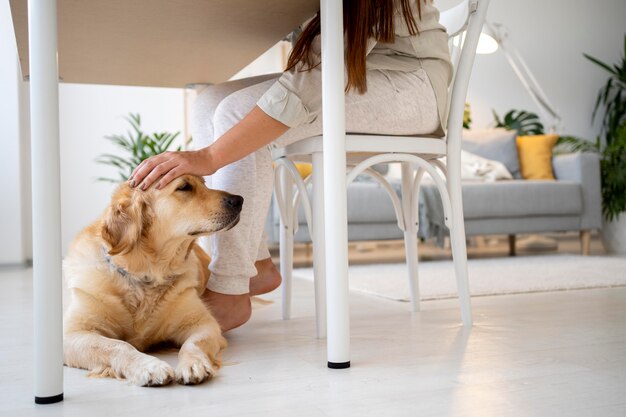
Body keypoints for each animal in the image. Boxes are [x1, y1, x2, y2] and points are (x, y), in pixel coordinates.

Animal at [61, 174, 241, 386]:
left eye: (204, 183)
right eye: (184, 187)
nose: (239, 200)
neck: (145, 275)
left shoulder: (205, 324)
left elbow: (193, 344)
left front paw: (193, 364)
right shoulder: (71, 334)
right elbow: (118, 345)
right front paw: (150, 366)